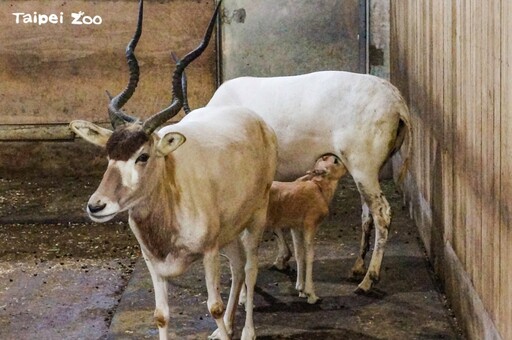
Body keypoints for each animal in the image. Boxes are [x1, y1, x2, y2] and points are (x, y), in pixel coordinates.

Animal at [70, 1, 278, 338]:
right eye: (109, 154)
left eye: (143, 155)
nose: (96, 206)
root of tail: (257, 121)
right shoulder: (153, 264)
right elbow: (161, 315)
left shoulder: (208, 252)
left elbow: (213, 306)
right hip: (230, 230)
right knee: (236, 267)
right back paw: (225, 328)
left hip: (256, 216)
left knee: (249, 267)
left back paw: (246, 331)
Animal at [266, 153, 346, 302]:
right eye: (335, 161)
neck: (319, 190)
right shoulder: (310, 224)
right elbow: (310, 254)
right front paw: (311, 294)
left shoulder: (296, 227)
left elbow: (299, 253)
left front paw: (301, 289)